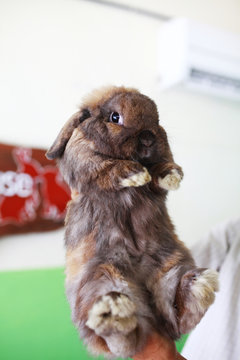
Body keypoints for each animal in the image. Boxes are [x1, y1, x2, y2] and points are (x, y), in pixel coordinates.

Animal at [46, 86, 218, 358]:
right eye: (114, 117)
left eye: (157, 120)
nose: (147, 137)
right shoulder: (85, 160)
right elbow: (106, 168)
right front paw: (136, 175)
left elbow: (160, 171)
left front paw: (172, 176)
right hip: (99, 278)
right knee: (121, 337)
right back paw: (113, 311)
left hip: (170, 266)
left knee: (176, 318)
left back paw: (197, 286)